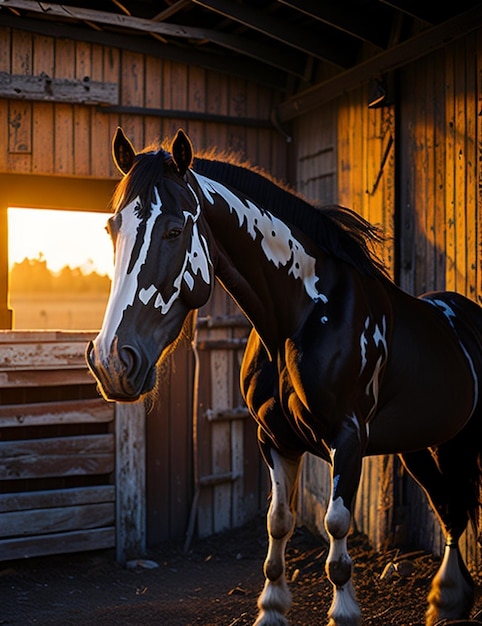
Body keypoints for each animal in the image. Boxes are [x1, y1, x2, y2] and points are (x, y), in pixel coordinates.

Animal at [86, 128, 482, 624]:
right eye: (111, 229)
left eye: (175, 230)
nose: (111, 362)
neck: (303, 315)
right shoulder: (275, 439)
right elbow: (278, 523)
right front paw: (271, 608)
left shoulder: (347, 439)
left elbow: (335, 526)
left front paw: (343, 612)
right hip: (425, 443)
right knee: (450, 509)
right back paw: (448, 598)